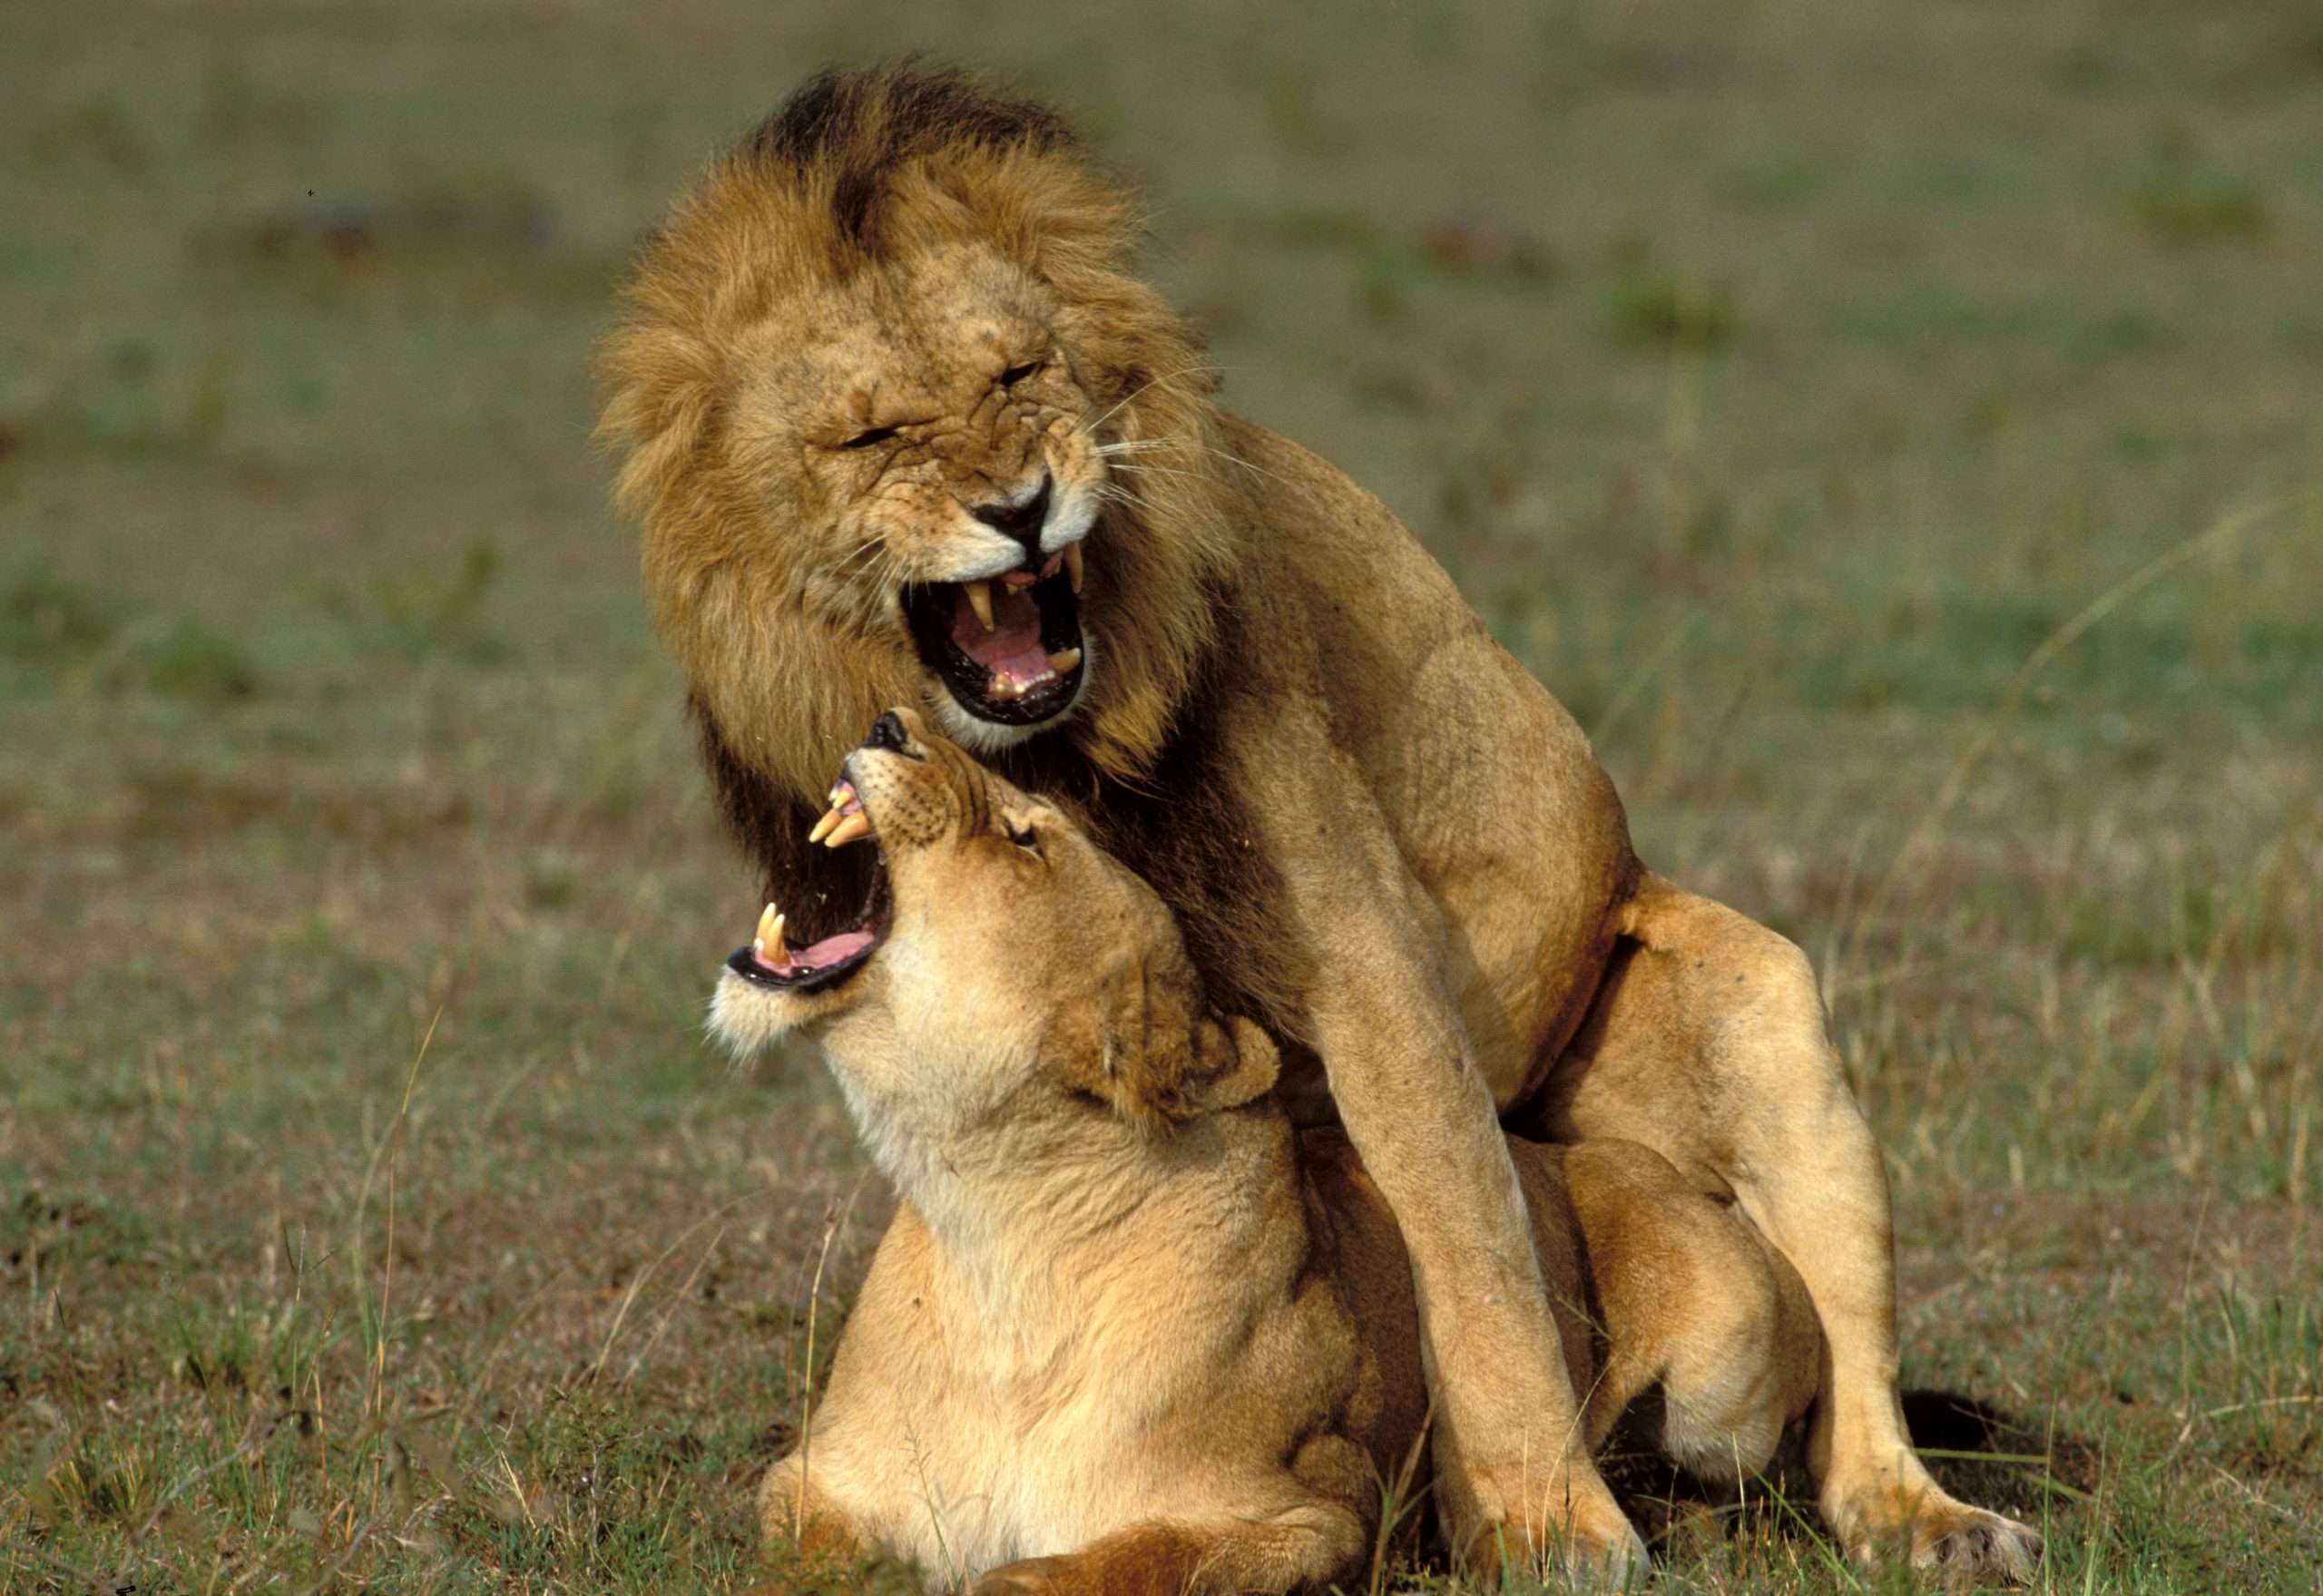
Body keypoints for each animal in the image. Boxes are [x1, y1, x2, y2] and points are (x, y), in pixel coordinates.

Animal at [709, 708, 1824, 1594]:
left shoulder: (1319, 1510)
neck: (997, 1226)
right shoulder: (815, 1482)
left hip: (1724, 1359)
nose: (890, 721)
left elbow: (1110, 1562)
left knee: (1744, 1481)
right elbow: (803, 1559)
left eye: (1027, 837)